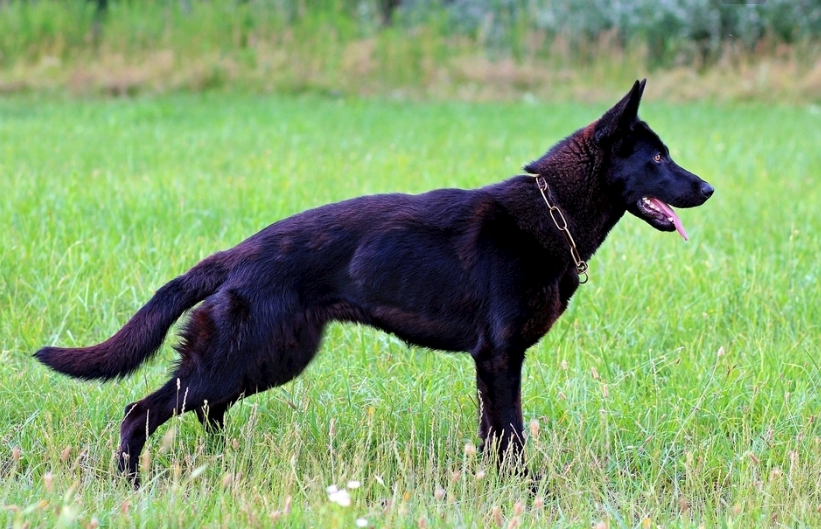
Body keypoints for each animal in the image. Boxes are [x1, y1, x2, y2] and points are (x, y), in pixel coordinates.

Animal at [35, 79, 712, 482]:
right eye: (657, 158)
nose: (707, 189)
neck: (550, 214)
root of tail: (234, 255)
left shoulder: (492, 363)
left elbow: (495, 434)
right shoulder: (500, 357)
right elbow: (512, 434)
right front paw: (525, 491)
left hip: (265, 358)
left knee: (206, 412)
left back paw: (226, 464)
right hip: (241, 358)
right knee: (140, 411)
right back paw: (131, 483)